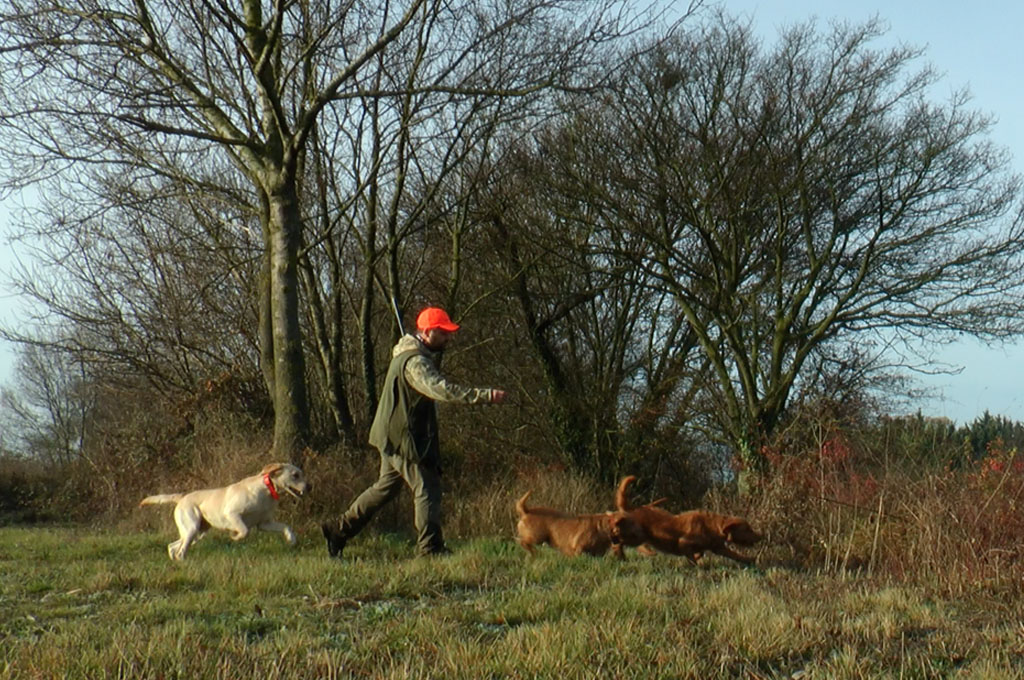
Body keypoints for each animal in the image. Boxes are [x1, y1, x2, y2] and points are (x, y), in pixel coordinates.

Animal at [141, 464, 307, 561]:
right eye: (295, 475)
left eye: (301, 474)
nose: (309, 486)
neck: (266, 490)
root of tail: (182, 497)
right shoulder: (232, 514)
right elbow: (244, 530)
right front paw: (235, 536)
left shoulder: (264, 523)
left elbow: (286, 526)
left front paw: (291, 539)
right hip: (192, 528)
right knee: (180, 551)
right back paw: (182, 562)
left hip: (196, 533)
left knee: (173, 546)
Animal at [606, 475, 761, 565]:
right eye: (747, 529)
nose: (761, 536)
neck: (712, 526)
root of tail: (632, 509)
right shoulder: (684, 543)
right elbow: (693, 557)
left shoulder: (718, 547)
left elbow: (735, 555)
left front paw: (750, 560)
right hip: (636, 536)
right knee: (618, 542)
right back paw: (625, 555)